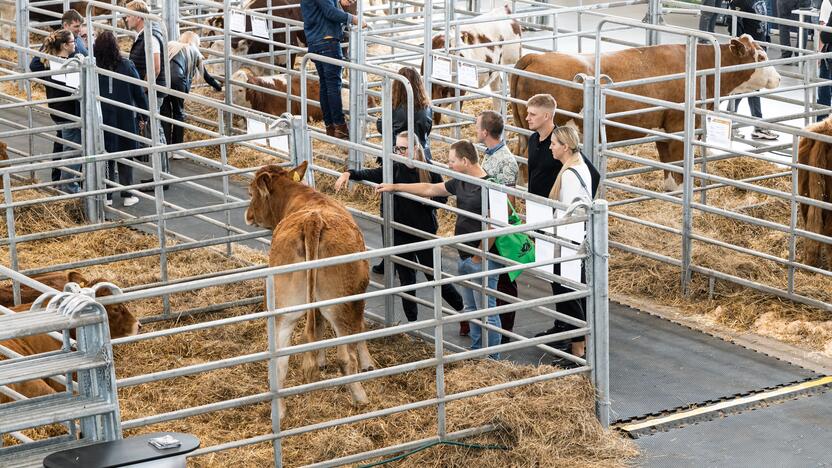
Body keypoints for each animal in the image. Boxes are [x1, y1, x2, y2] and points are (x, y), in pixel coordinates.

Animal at [245, 163, 372, 414]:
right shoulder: (358, 298)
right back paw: (361, 398)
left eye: (251, 192)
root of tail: (312, 221)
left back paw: (279, 411)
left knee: (279, 362)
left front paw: (321, 360)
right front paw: (368, 364)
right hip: (341, 307)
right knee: (346, 357)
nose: (248, 215)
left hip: (283, 311)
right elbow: (360, 329)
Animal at [508, 33, 780, 192]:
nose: (778, 78)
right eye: (761, 56)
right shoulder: (678, 127)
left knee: (520, 156)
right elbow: (678, 165)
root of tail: (534, 57)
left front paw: (669, 190)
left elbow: (668, 164)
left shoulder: (662, 129)